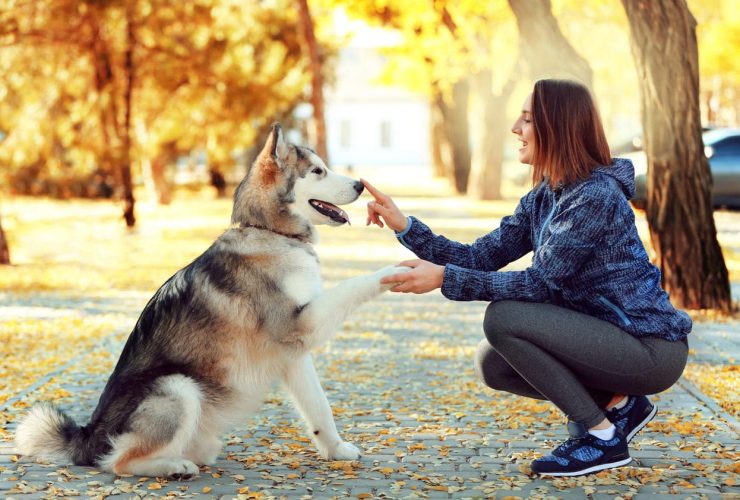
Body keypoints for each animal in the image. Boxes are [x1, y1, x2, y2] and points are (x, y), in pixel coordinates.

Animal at [15, 123, 410, 478]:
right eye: (317, 171)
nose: (359, 185)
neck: (269, 231)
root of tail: (87, 435)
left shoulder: (294, 352)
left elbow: (319, 408)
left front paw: (335, 449)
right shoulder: (301, 324)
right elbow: (353, 285)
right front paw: (394, 270)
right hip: (178, 387)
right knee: (119, 462)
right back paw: (174, 467)